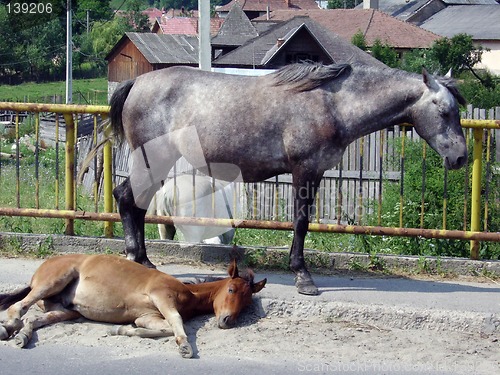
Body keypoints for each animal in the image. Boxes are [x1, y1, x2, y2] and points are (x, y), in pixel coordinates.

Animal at [0, 256, 266, 358]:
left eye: (247, 302)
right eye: (231, 290)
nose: (227, 321)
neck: (189, 293)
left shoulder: (148, 315)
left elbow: (159, 327)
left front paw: (120, 330)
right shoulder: (162, 297)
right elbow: (177, 323)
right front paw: (185, 347)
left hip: (67, 310)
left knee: (34, 319)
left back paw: (21, 336)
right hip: (53, 281)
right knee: (19, 307)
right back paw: (9, 327)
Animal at [94, 62, 468, 296]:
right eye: (444, 111)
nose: (461, 157)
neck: (332, 105)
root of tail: (137, 83)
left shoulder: (313, 173)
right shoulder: (305, 170)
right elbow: (301, 223)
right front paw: (303, 276)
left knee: (134, 202)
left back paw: (145, 261)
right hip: (153, 158)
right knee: (127, 198)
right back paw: (138, 259)